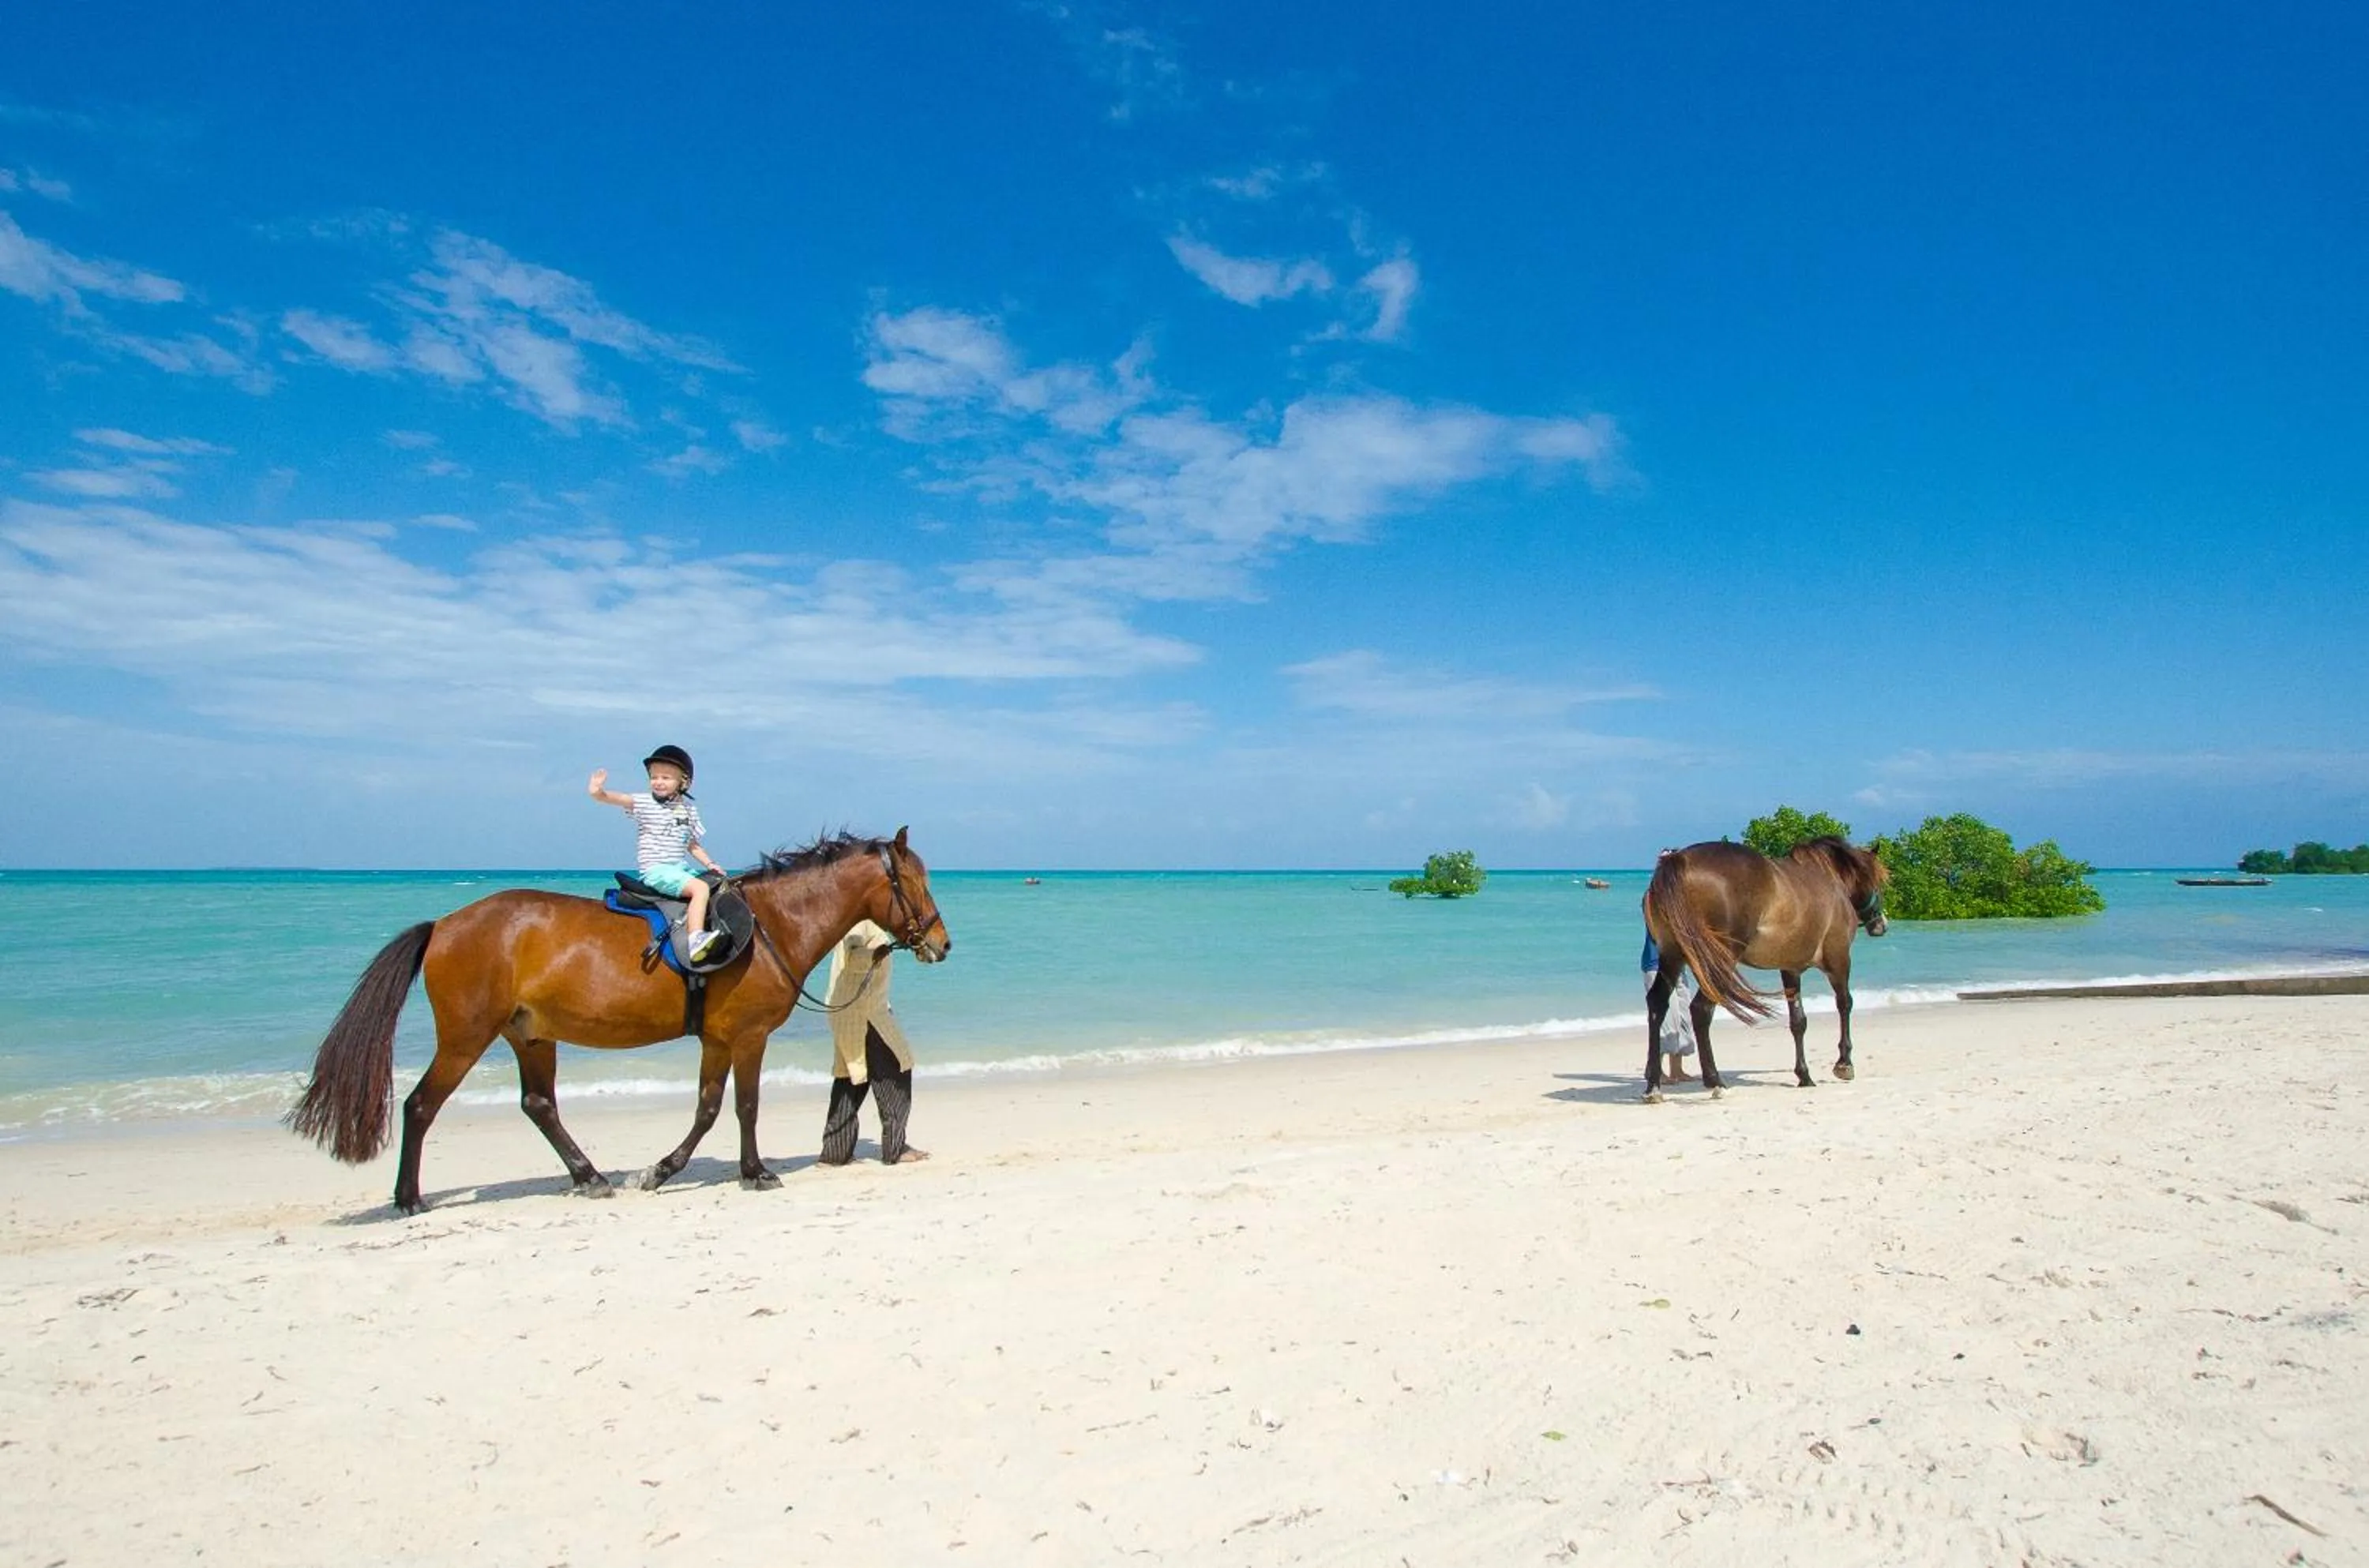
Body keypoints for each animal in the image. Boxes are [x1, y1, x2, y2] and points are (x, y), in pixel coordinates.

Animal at [288, 828, 951, 1213]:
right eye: (914, 881)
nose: (941, 943)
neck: (770, 926)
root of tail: (445, 925)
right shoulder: (746, 1037)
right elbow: (743, 1107)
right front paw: (755, 1172)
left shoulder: (717, 1040)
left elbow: (708, 1108)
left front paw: (660, 1171)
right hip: (467, 1037)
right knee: (422, 1105)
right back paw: (409, 1199)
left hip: (531, 1035)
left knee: (539, 1105)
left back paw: (589, 1176)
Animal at [1640, 836, 1888, 1102]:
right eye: (1876, 881)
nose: (1881, 924)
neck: (1831, 881)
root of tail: (1678, 861)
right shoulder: (1839, 960)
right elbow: (1845, 1004)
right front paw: (1844, 1064)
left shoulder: (1790, 969)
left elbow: (1798, 1022)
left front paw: (1804, 1075)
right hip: (1719, 961)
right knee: (1701, 1010)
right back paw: (1715, 1081)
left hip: (1673, 957)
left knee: (1657, 1004)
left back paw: (1654, 1086)